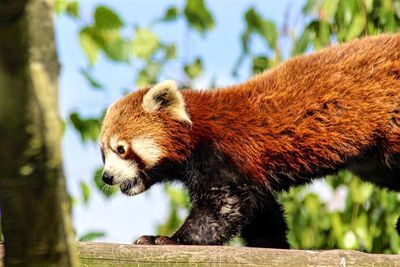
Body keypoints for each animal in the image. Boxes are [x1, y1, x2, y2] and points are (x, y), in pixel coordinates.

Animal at [99, 34, 400, 248]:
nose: (106, 177)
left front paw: (169, 239)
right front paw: (275, 246)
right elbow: (261, 212)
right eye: (103, 154)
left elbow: (224, 207)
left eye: (121, 149)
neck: (198, 131)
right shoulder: (253, 175)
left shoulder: (222, 154)